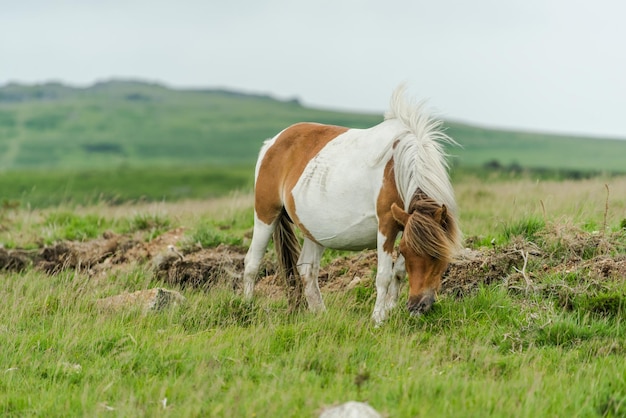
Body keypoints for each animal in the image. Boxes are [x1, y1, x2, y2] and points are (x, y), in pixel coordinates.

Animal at [241, 85, 460, 324]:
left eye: (438, 254)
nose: (418, 306)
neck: (398, 168)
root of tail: (271, 143)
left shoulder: (405, 224)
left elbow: (398, 272)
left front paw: (391, 309)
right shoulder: (387, 224)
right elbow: (384, 275)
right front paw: (378, 319)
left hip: (313, 230)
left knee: (307, 270)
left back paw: (321, 315)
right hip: (265, 215)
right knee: (252, 263)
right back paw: (247, 306)